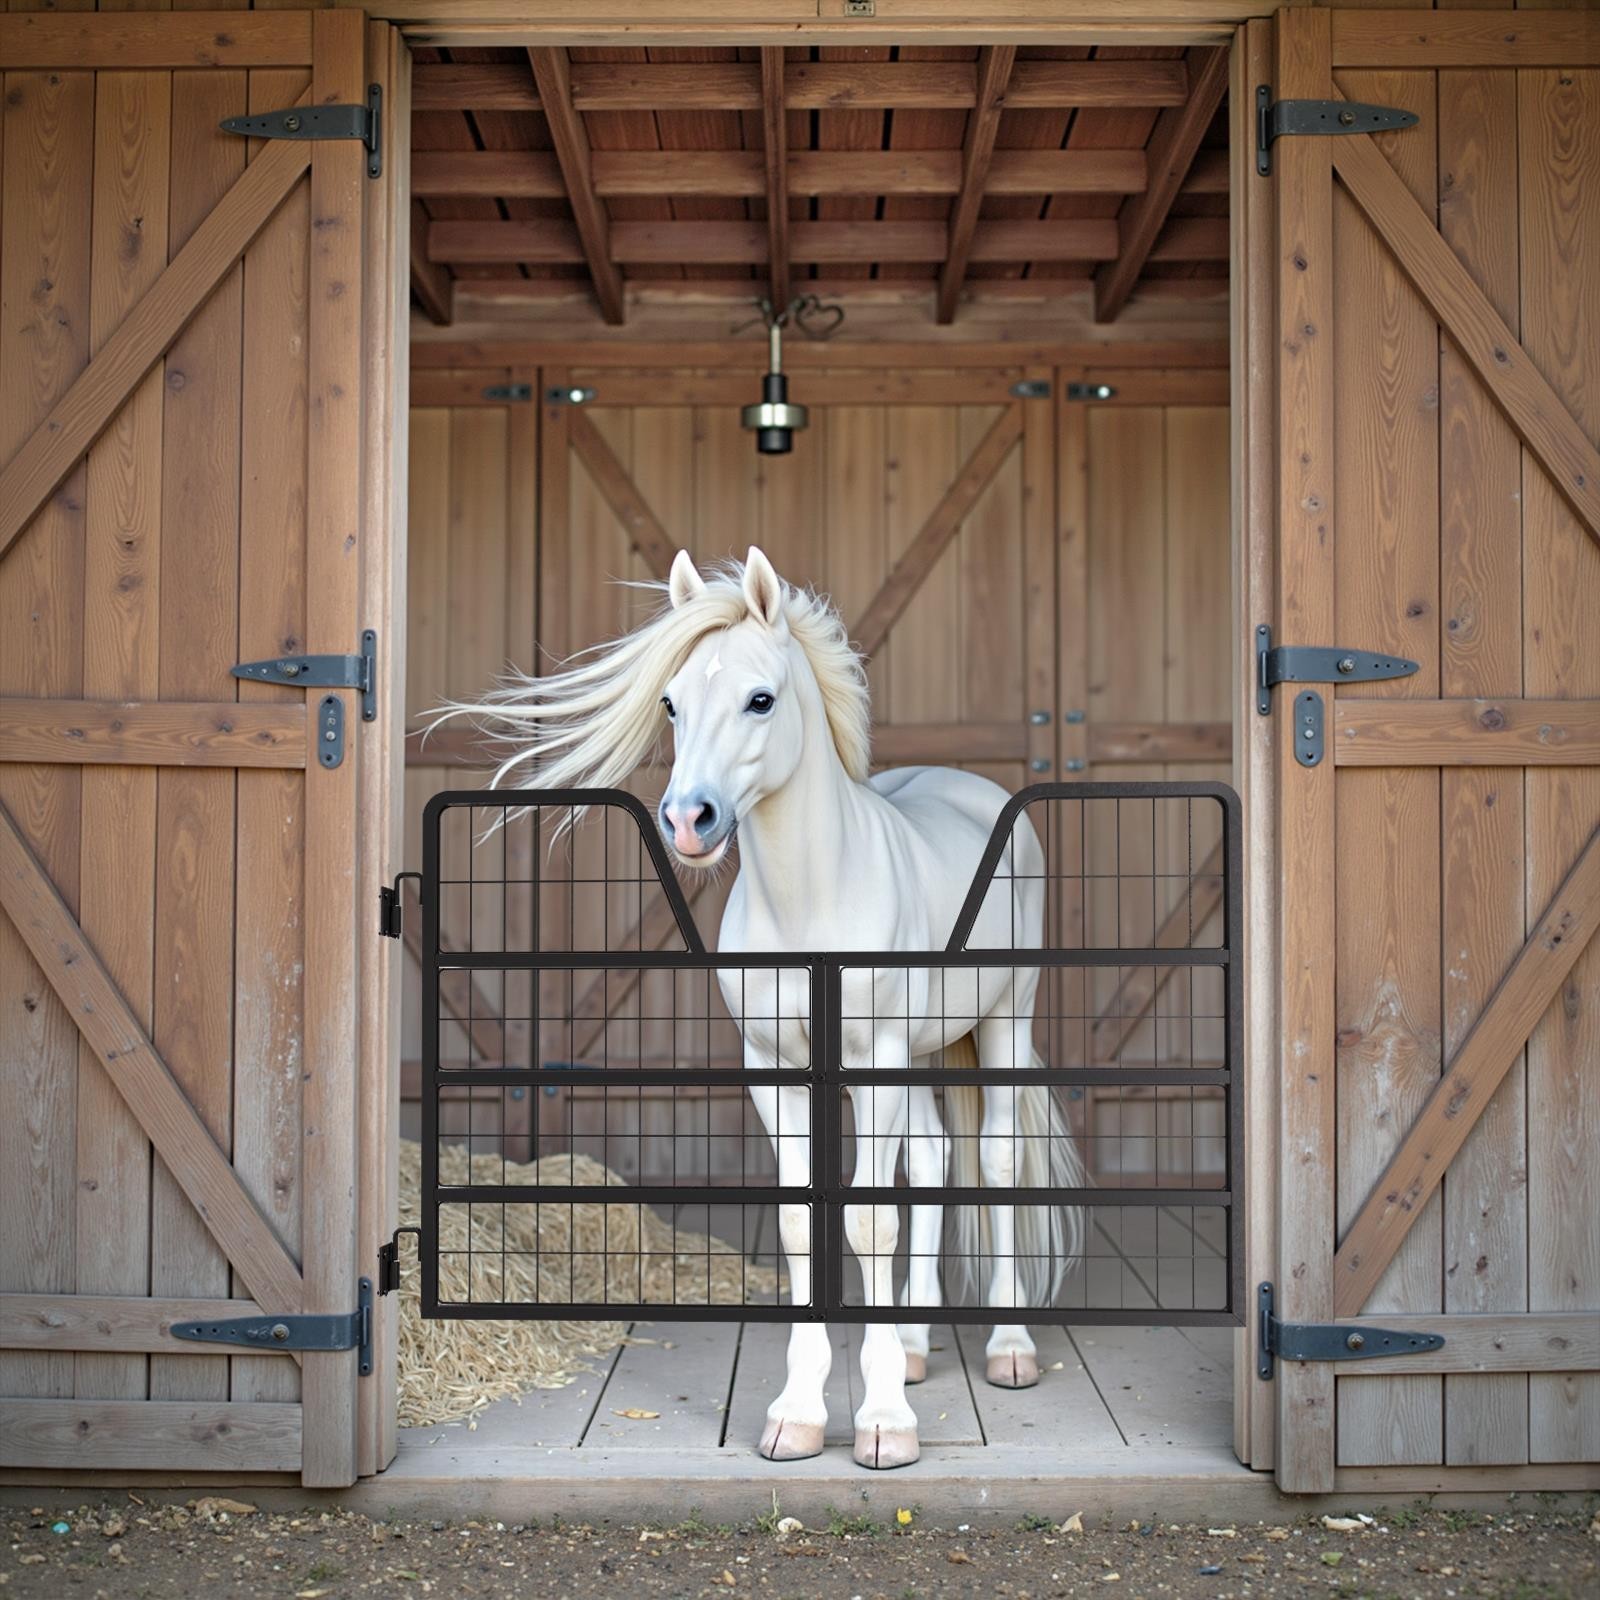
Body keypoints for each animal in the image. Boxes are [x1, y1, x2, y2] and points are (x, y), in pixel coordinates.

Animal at [446, 545, 1084, 1470]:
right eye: (671, 702)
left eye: (761, 698)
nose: (688, 820)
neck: (812, 894)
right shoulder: (777, 1070)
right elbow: (799, 1223)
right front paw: (802, 1413)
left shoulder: (875, 1060)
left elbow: (870, 1224)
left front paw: (883, 1423)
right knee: (932, 1160)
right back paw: (916, 1346)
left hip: (1003, 1023)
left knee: (996, 1162)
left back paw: (1008, 1349)